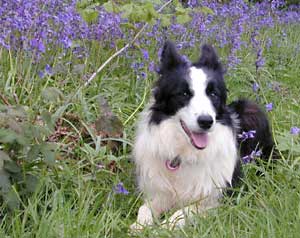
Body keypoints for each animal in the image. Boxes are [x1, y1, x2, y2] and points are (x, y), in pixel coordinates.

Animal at [131, 41, 274, 231]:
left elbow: (181, 213)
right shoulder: (161, 191)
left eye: (213, 94)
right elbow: (145, 208)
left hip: (251, 109)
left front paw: (161, 229)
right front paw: (139, 226)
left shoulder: (221, 197)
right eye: (184, 94)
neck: (185, 153)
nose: (206, 121)